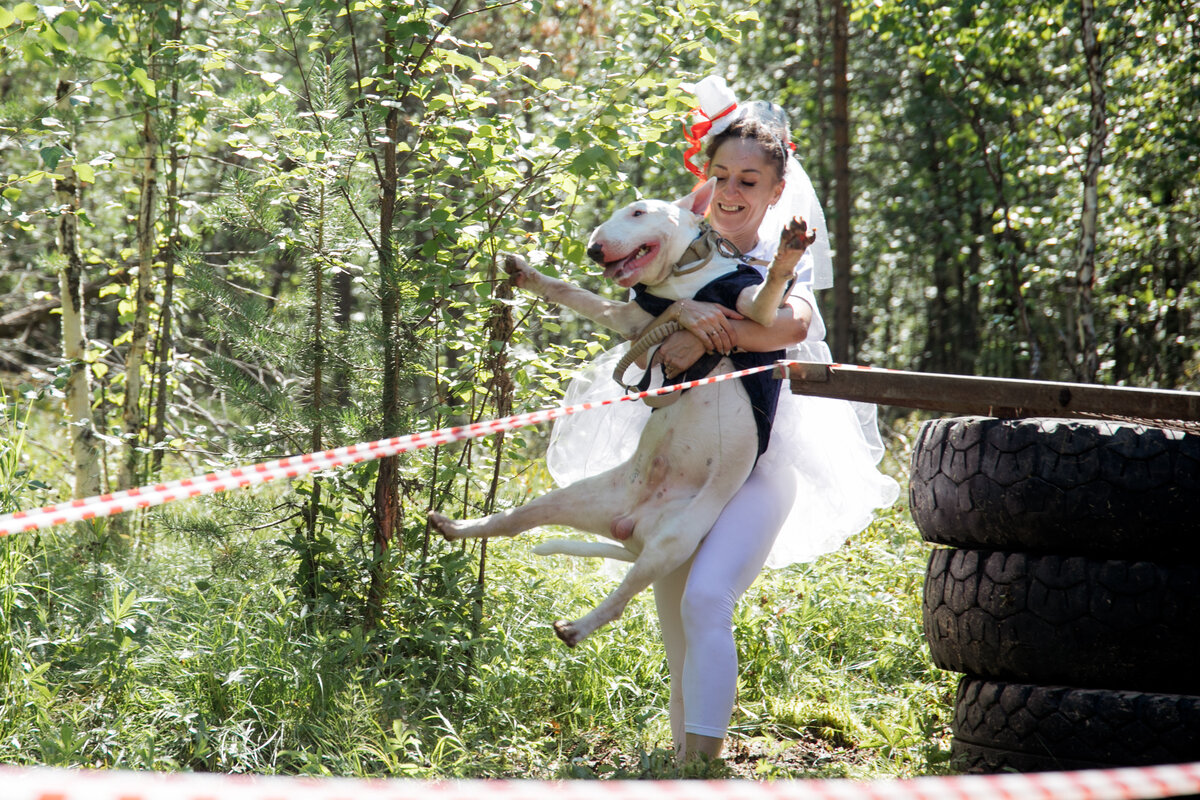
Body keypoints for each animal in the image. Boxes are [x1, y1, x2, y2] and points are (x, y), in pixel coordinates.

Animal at [427, 178, 811, 647]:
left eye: (638, 212)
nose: (594, 250)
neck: (683, 278)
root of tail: (632, 528)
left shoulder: (748, 308)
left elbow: (766, 296)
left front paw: (788, 253)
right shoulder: (635, 319)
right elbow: (576, 293)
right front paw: (526, 273)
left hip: (676, 539)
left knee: (622, 599)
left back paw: (576, 627)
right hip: (575, 498)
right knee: (514, 521)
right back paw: (455, 527)